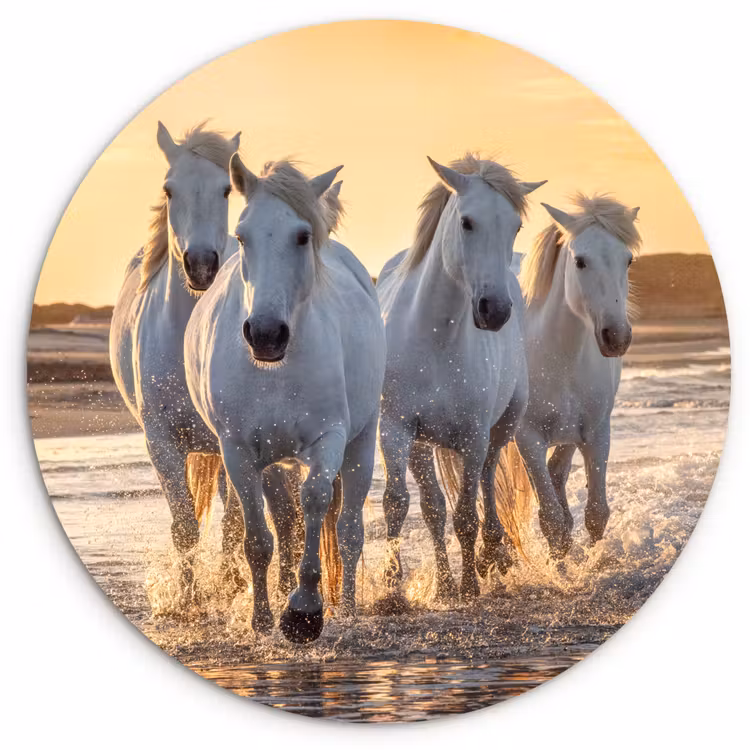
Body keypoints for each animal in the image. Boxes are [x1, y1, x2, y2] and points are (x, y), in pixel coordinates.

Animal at [184, 157, 386, 643]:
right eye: (242, 236)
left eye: (302, 236)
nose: (265, 334)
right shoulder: (237, 451)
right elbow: (259, 538)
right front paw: (262, 619)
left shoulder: (328, 439)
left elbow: (315, 501)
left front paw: (304, 611)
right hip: (274, 461)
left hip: (361, 443)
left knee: (349, 531)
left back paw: (347, 608)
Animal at [376, 154, 546, 603]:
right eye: (467, 222)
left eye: (515, 226)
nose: (494, 310)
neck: (435, 338)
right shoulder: (395, 429)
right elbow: (399, 503)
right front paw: (392, 591)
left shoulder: (473, 436)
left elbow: (467, 512)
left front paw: (471, 584)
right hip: (422, 444)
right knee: (434, 507)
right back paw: (445, 582)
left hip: (501, 427)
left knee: (486, 481)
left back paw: (491, 556)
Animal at [507, 194, 641, 559]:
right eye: (580, 261)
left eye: (628, 260)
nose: (616, 337)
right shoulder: (528, 439)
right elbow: (551, 520)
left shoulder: (596, 432)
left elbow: (596, 513)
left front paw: (591, 563)